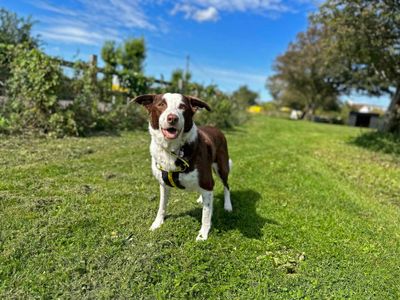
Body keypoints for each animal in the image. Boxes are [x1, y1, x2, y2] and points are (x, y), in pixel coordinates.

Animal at [133, 92, 233, 240]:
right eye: (161, 105)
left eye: (182, 106)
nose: (172, 118)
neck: (173, 149)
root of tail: (214, 127)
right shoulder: (163, 185)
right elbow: (161, 206)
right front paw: (157, 223)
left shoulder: (207, 182)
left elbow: (206, 214)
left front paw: (203, 235)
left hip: (221, 167)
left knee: (226, 186)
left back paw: (227, 205)